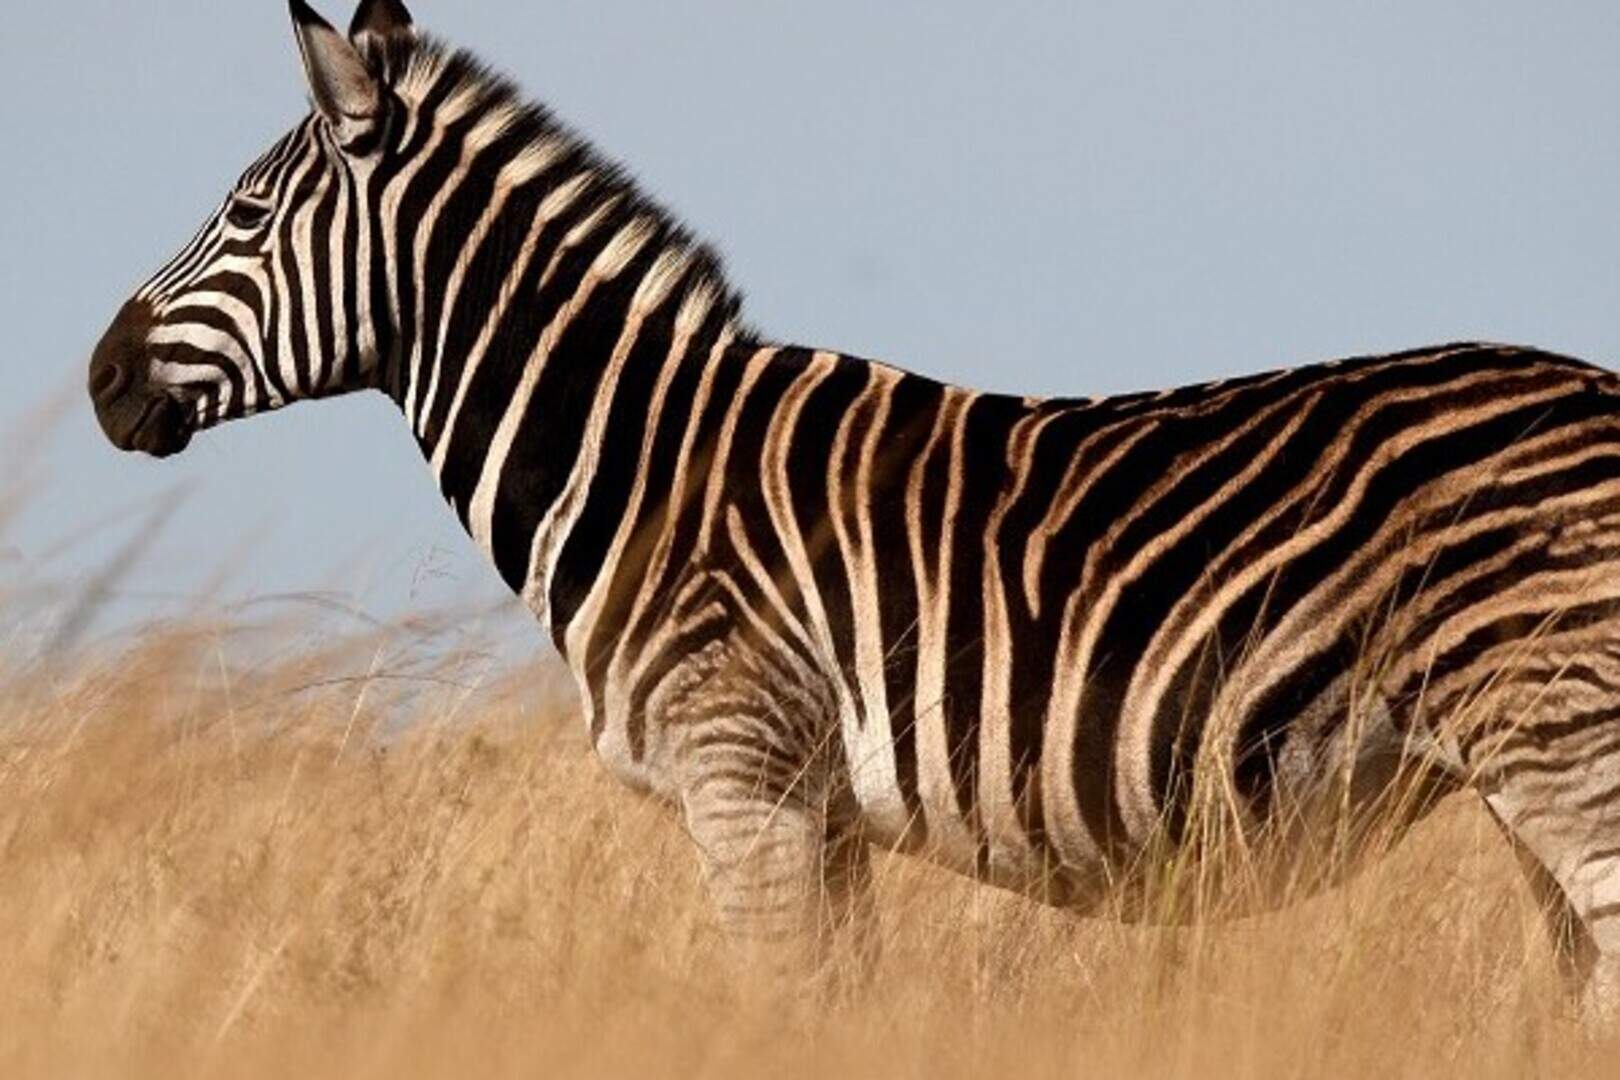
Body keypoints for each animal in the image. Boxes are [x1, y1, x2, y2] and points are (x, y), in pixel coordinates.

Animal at [87, 0, 1620, 1015]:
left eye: (241, 217)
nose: (101, 382)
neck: (638, 461)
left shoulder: (742, 779)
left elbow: (775, 1017)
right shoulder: (818, 812)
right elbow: (837, 1016)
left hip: (1566, 761)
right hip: (1523, 781)